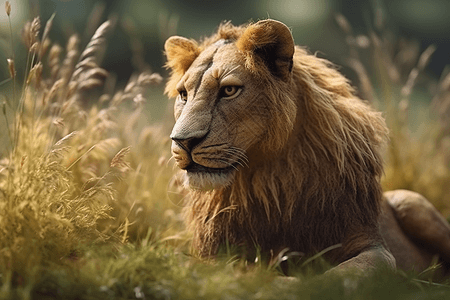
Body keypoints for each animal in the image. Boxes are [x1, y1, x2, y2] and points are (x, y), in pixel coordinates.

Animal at [163, 18, 450, 272]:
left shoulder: (372, 245)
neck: (269, 178)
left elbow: (344, 274)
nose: (183, 141)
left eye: (229, 91)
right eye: (183, 94)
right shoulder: (213, 253)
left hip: (408, 200)